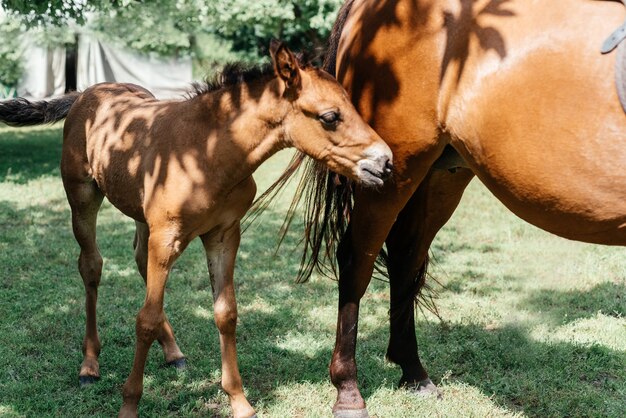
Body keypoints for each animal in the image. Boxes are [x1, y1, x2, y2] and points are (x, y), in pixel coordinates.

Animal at [0, 43, 390, 418]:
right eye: (330, 117)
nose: (384, 162)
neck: (208, 154)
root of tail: (86, 92)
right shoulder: (167, 237)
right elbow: (145, 319)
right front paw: (129, 405)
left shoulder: (222, 234)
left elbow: (225, 313)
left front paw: (240, 402)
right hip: (83, 198)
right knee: (91, 266)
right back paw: (89, 365)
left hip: (142, 217)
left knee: (138, 259)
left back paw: (173, 352)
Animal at [278, 0, 624, 418]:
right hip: (391, 172)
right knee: (357, 259)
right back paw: (348, 389)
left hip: (442, 174)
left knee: (405, 259)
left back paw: (413, 372)